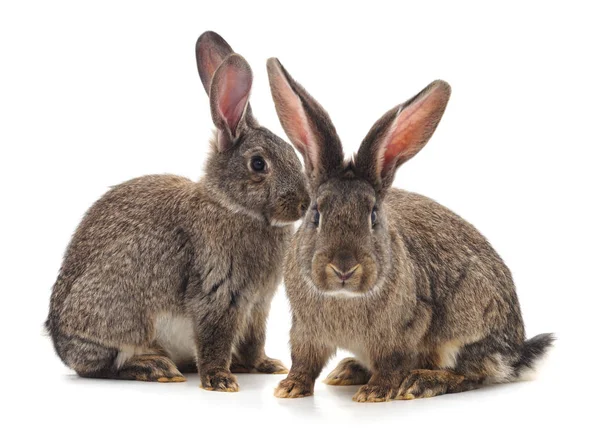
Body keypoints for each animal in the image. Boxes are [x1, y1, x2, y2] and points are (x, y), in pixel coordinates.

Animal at [45, 32, 310, 390]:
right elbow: (214, 340)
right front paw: (219, 380)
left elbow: (254, 341)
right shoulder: (218, 295)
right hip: (120, 318)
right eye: (258, 164)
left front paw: (265, 365)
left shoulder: (257, 306)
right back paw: (155, 367)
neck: (233, 206)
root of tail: (61, 343)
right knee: (104, 365)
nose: (304, 203)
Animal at [264, 58, 556, 402]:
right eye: (316, 215)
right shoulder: (304, 330)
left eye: (373, 216)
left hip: (465, 330)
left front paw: (376, 392)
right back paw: (348, 370)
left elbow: (392, 363)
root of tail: (514, 353)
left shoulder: (406, 329)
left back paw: (421, 382)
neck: (344, 296)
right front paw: (290, 387)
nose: (344, 268)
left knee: (472, 375)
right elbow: (304, 360)